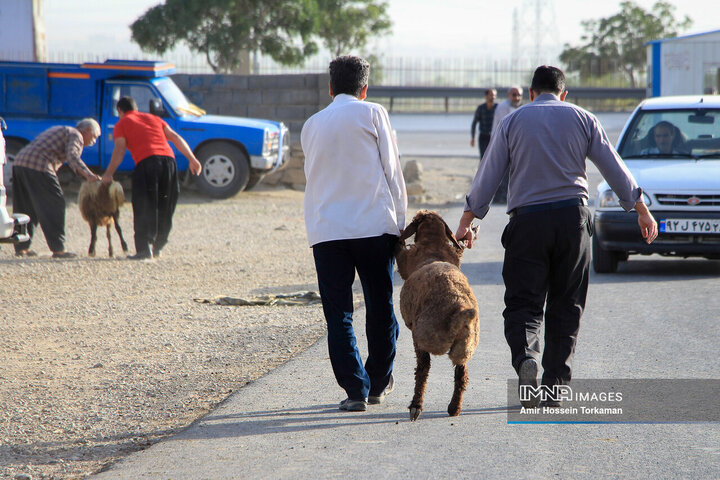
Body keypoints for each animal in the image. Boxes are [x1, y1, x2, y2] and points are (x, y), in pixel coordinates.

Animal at [394, 210, 478, 420]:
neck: (433, 247)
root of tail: (460, 309)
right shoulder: (454, 253)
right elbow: (460, 247)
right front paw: (469, 233)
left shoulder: (406, 259)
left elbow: (399, 249)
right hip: (465, 346)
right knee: (461, 373)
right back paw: (454, 408)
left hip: (424, 336)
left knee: (423, 367)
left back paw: (416, 406)